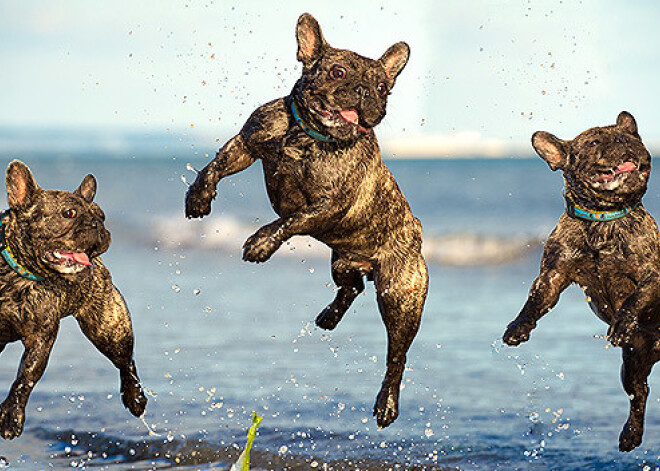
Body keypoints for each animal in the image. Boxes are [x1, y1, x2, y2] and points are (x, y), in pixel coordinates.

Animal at [0, 161, 147, 438]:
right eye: (69, 213)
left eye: (102, 216)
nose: (97, 225)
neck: (19, 275)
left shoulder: (41, 339)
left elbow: (26, 377)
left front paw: (11, 416)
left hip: (109, 330)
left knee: (126, 361)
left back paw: (135, 397)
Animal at [186, 13, 428, 428]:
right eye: (337, 71)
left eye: (383, 87)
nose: (364, 91)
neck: (308, 135)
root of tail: (417, 236)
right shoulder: (247, 143)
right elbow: (217, 165)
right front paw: (199, 195)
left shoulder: (328, 205)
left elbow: (292, 220)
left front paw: (261, 242)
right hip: (344, 262)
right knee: (351, 288)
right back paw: (329, 317)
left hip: (400, 295)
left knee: (397, 354)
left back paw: (387, 404)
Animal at [502, 110, 656, 454]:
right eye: (596, 142)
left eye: (634, 137)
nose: (625, 140)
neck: (604, 217)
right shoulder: (553, 275)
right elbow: (534, 300)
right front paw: (518, 326)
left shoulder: (653, 274)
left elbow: (635, 297)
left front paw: (622, 321)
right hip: (633, 363)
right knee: (639, 393)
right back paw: (631, 434)